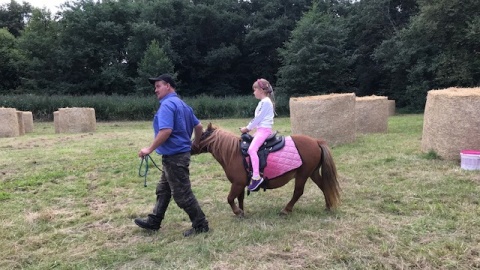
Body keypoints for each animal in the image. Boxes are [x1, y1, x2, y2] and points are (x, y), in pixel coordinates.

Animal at [191, 123, 342, 216]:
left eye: (201, 135)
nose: (190, 147)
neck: (233, 153)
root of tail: (316, 141)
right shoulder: (240, 184)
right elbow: (239, 198)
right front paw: (241, 212)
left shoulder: (237, 183)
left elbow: (230, 198)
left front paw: (237, 212)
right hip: (313, 173)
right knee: (324, 186)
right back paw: (328, 206)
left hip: (303, 175)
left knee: (298, 192)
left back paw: (286, 210)